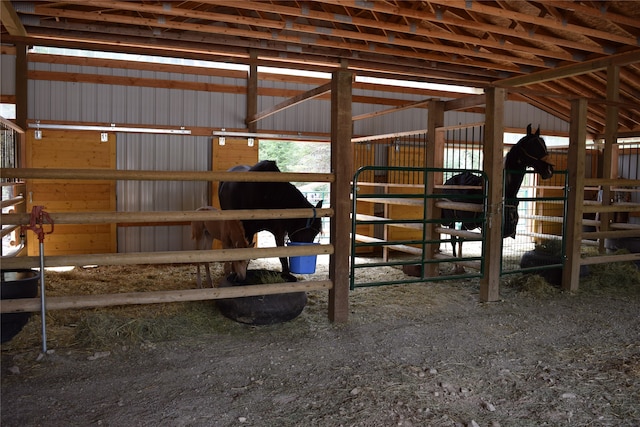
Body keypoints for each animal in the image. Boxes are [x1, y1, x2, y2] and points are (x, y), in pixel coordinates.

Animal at [440, 124, 556, 270]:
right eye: (532, 145)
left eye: (543, 145)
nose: (549, 170)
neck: (505, 193)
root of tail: (449, 181)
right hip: (452, 219)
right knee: (453, 240)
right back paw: (456, 267)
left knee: (460, 238)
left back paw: (461, 267)